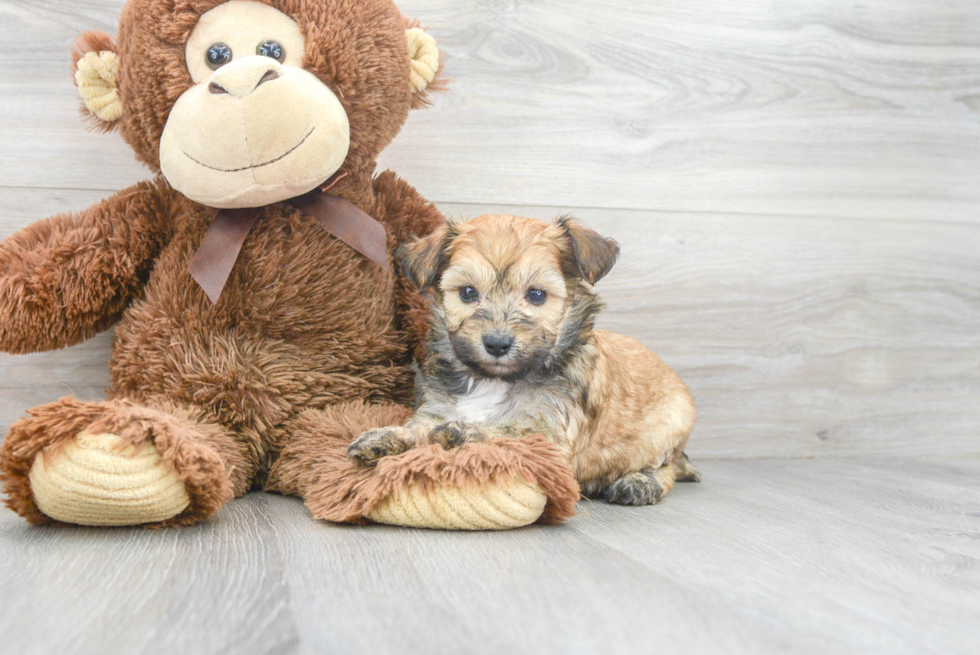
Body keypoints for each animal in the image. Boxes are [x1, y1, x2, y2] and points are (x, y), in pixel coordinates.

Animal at [348, 213, 700, 504]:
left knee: (668, 466)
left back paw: (639, 483)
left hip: (671, 427)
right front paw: (385, 437)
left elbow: (511, 432)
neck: (495, 380)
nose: (497, 343)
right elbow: (419, 428)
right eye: (467, 293)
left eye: (536, 295)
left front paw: (464, 433)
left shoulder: (552, 438)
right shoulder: (438, 408)